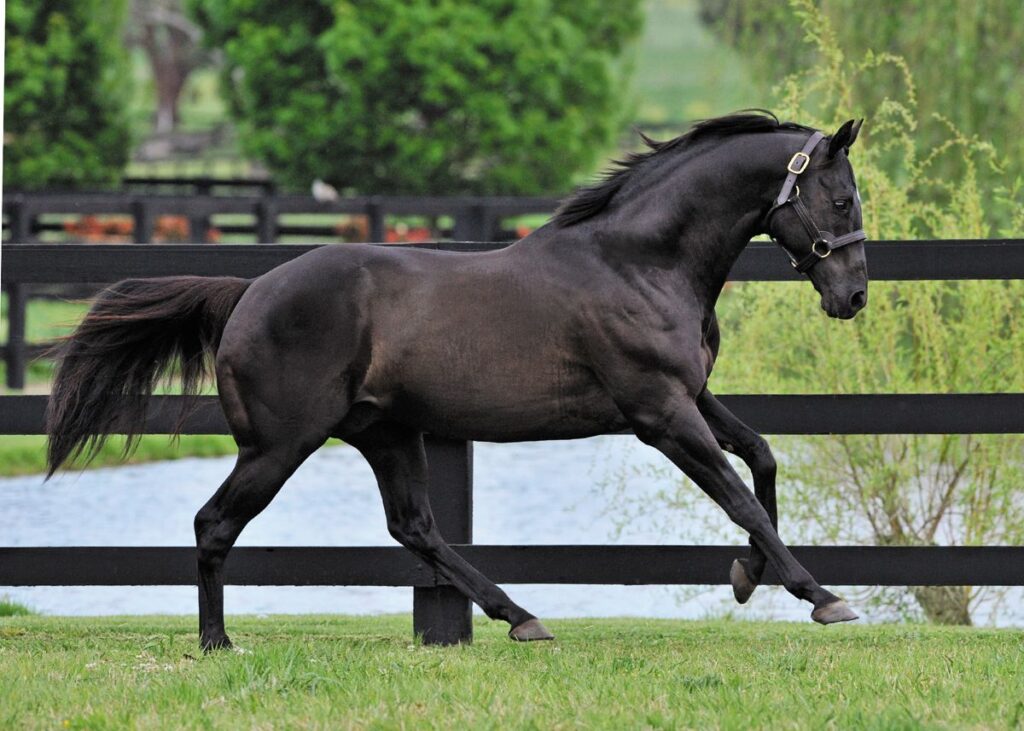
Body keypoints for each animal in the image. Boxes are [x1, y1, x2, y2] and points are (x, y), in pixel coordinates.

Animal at [48, 111, 864, 647]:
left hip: (384, 432)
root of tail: (249, 293)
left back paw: (522, 618)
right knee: (215, 523)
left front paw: (747, 575)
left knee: (414, 527)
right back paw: (217, 643)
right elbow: (738, 497)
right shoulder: (660, 412)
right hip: (279, 446)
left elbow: (762, 458)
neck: (639, 260)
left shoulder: (690, 397)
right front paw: (822, 596)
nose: (852, 296)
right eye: (842, 198)